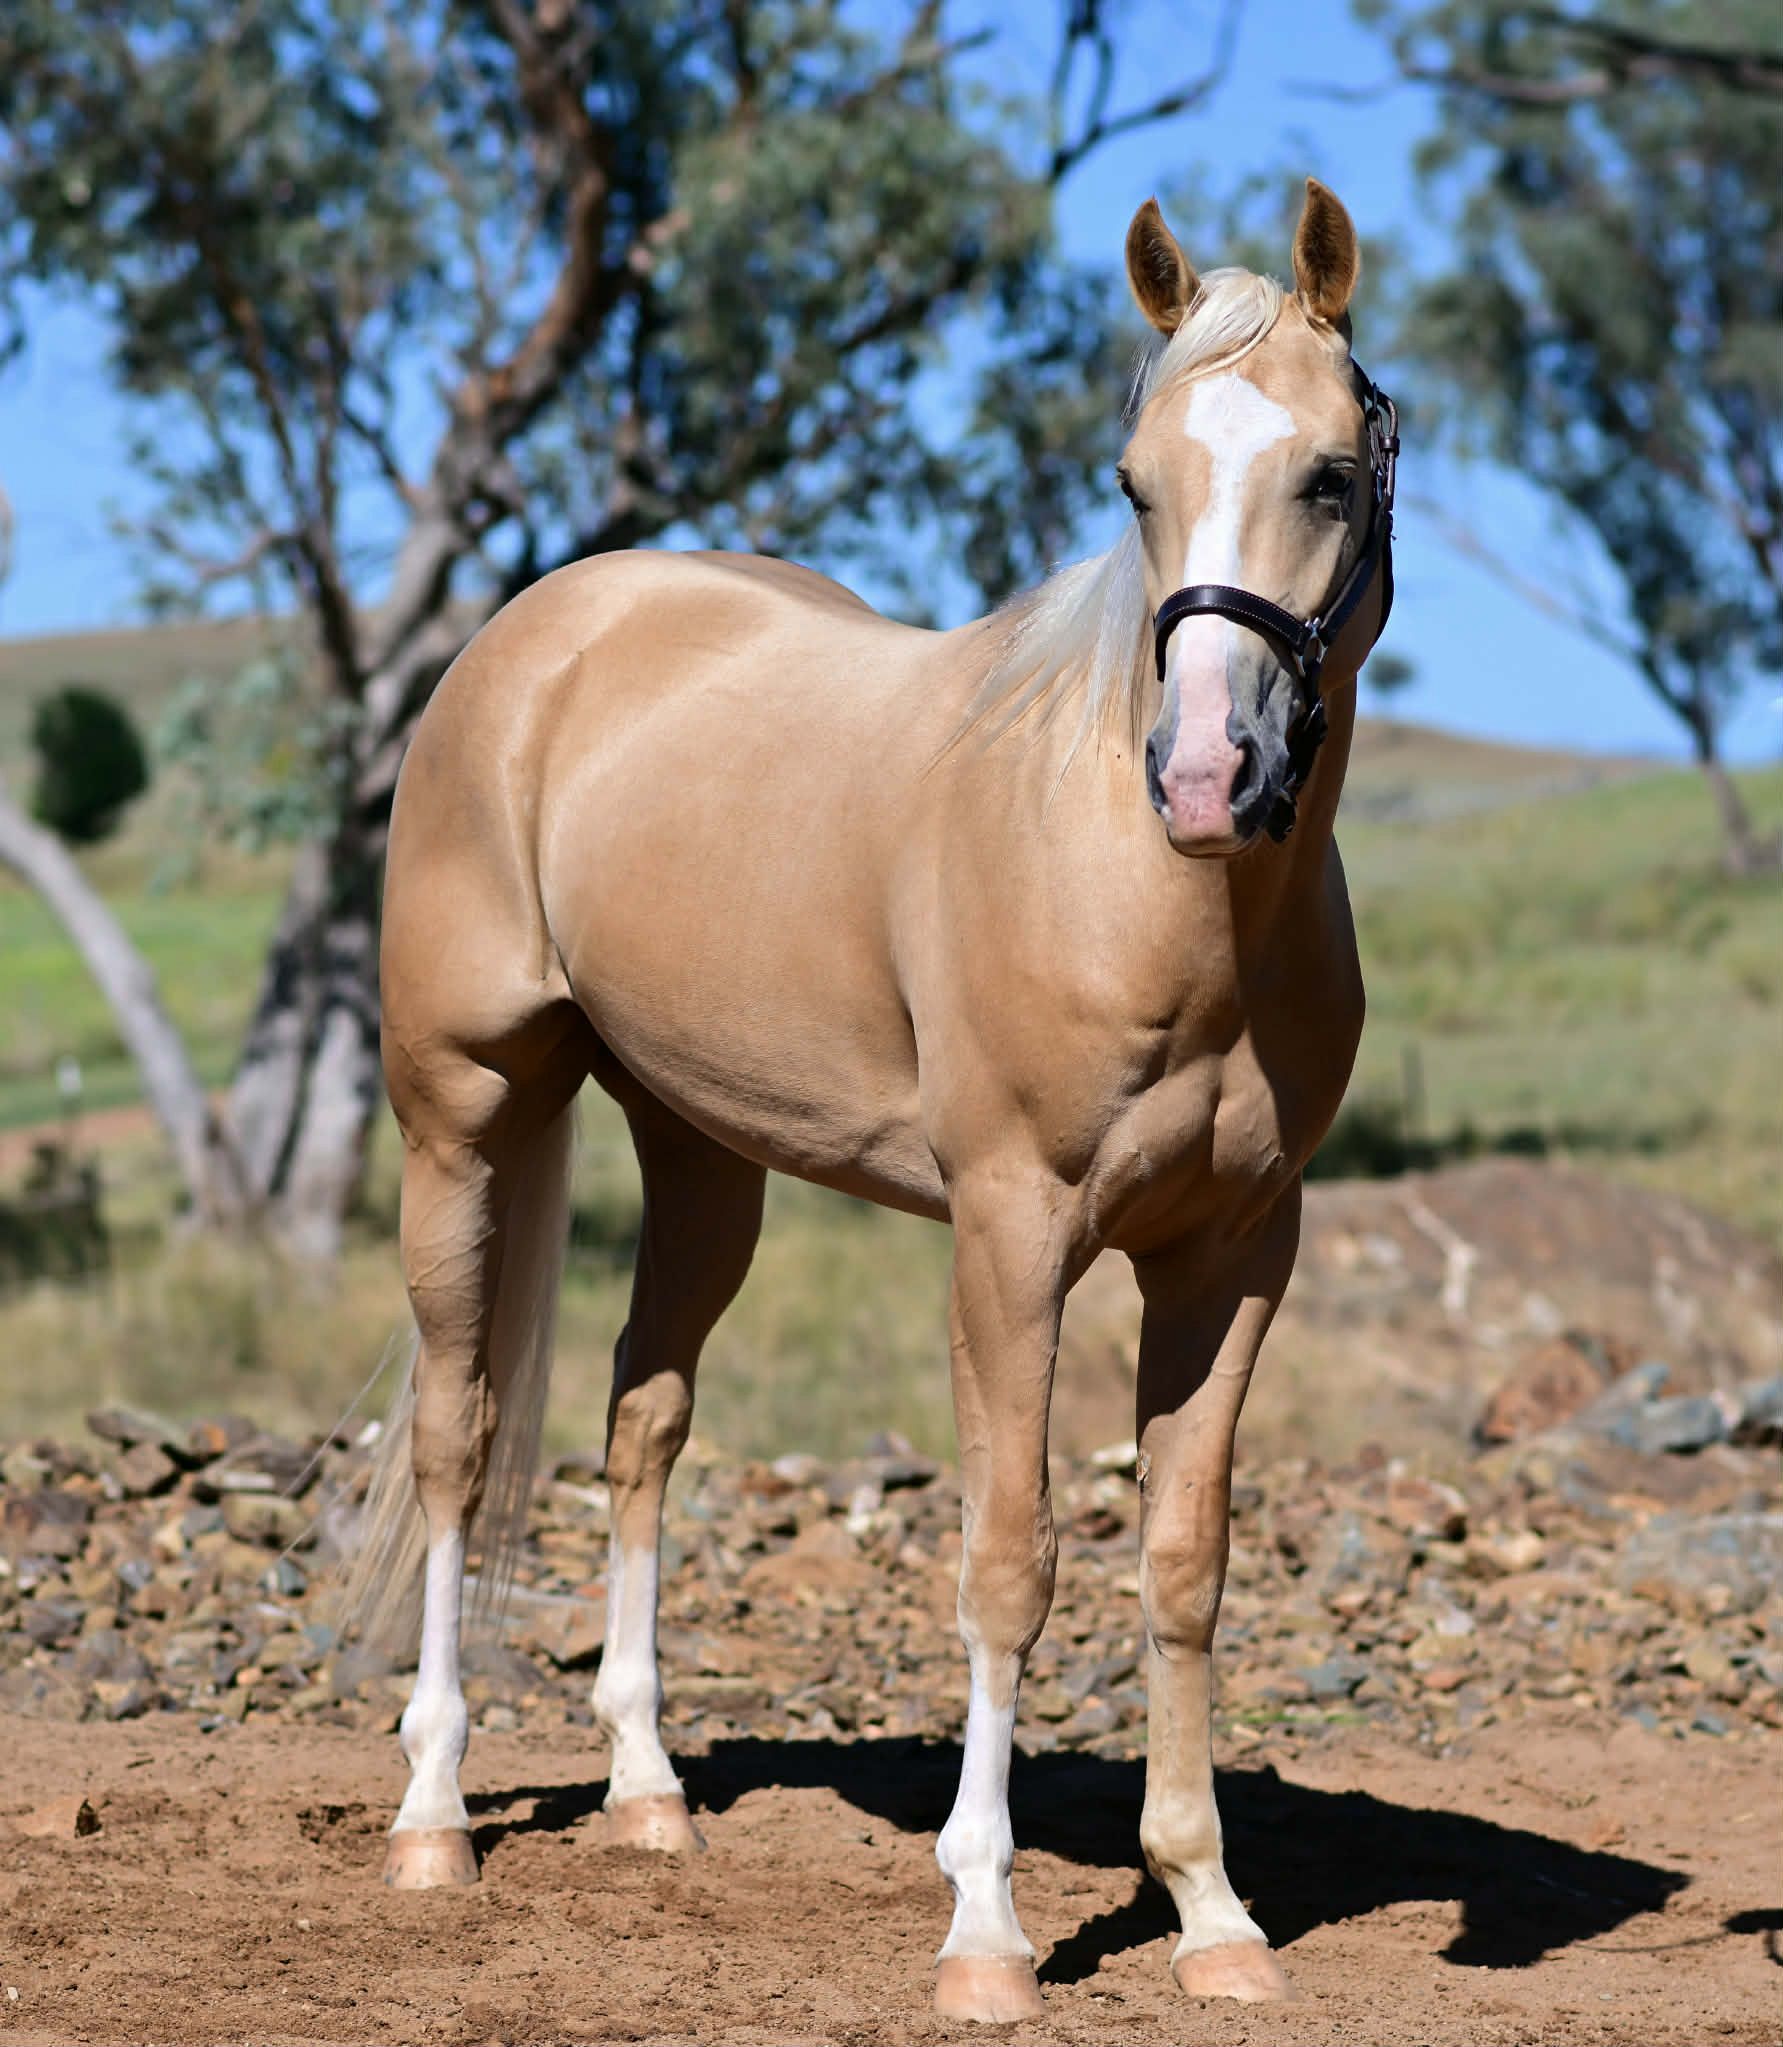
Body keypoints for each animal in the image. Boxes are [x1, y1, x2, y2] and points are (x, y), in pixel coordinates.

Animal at [348, 177, 1395, 2024]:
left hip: (699, 1151)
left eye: (1329, 473)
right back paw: (431, 1819)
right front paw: (981, 1925)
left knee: (640, 1421)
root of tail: (537, 634)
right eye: (1133, 484)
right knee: (458, 1436)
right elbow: (1008, 1557)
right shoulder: (1009, 1235)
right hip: (459, 1111)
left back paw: (647, 1793)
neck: (1151, 894)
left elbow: (1180, 1562)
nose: (1205, 776)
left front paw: (1209, 1912)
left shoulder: (1231, 1252)